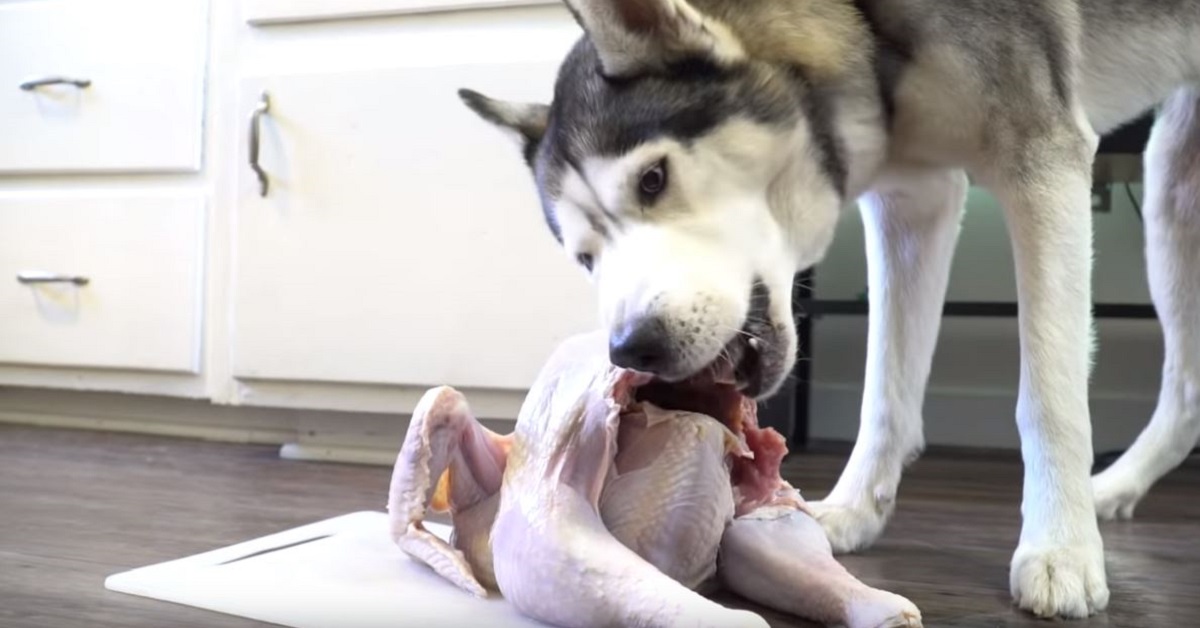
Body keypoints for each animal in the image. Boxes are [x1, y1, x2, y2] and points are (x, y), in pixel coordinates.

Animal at [456, 0, 1200, 619]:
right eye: (586, 258)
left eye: (653, 178)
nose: (631, 347)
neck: (868, 32)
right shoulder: (914, 200)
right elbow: (886, 391)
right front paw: (855, 510)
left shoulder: (1042, 159)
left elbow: (1049, 398)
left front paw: (1062, 548)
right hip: (1171, 187)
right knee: (1188, 390)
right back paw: (1116, 489)